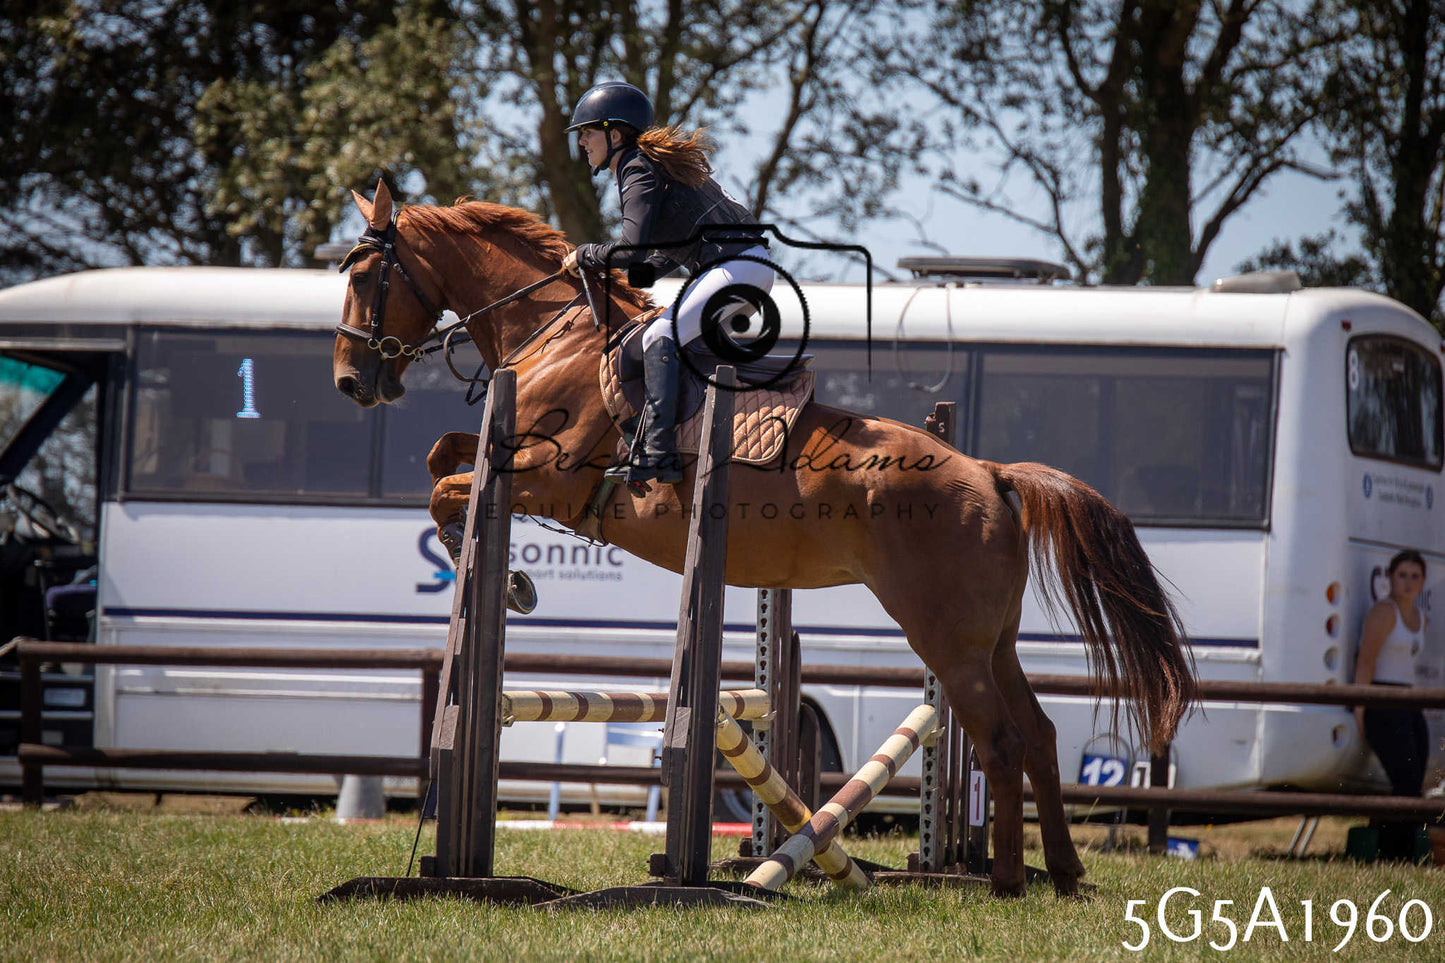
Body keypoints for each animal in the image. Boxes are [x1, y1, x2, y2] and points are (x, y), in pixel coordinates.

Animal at [332, 179, 1196, 897]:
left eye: (363, 273)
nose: (351, 382)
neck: (554, 331)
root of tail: (988, 470)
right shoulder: (509, 460)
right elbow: (444, 458)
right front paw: (491, 567)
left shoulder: (550, 477)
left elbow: (446, 487)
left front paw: (501, 575)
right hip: (993, 639)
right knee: (1042, 735)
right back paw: (1064, 873)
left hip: (944, 638)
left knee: (1002, 739)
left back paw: (1008, 883)